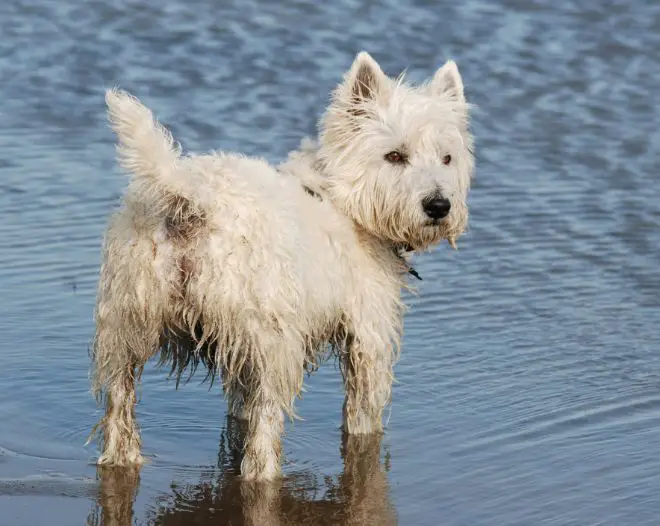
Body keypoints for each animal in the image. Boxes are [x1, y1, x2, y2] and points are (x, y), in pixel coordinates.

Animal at [91, 52, 474, 482]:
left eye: (447, 158)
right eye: (395, 155)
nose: (439, 206)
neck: (343, 198)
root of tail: (191, 200)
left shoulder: (234, 348)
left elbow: (239, 402)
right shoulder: (368, 332)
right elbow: (363, 412)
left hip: (125, 325)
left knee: (119, 402)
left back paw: (123, 458)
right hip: (273, 343)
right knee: (266, 426)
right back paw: (267, 473)